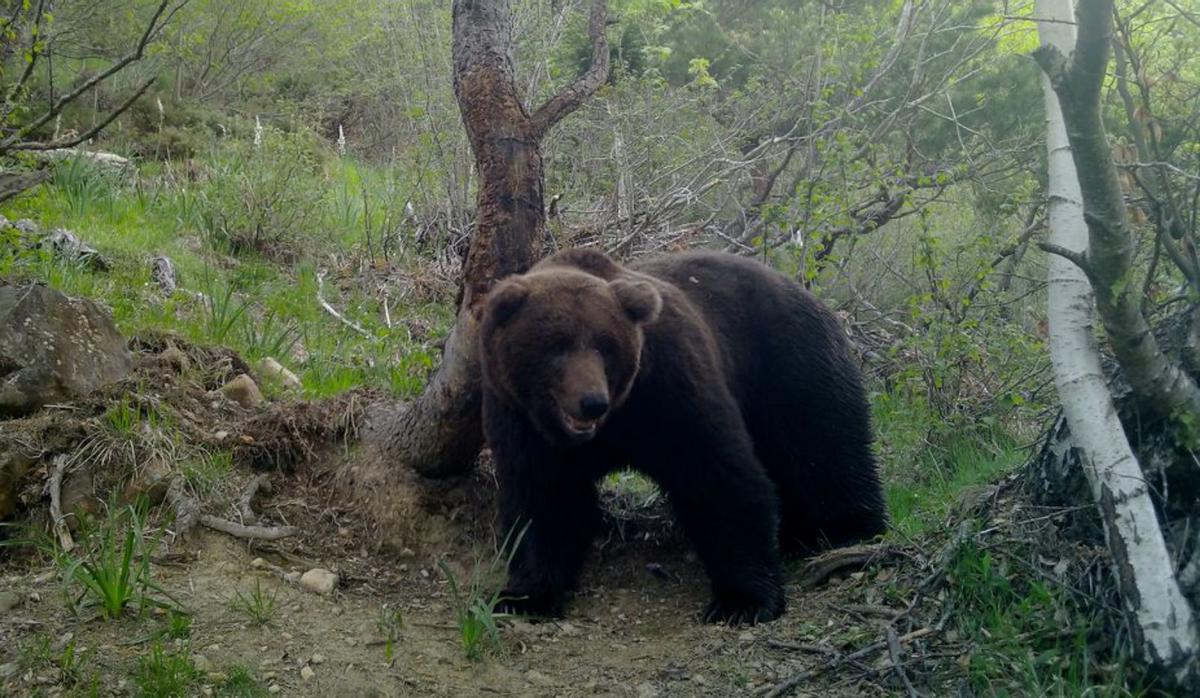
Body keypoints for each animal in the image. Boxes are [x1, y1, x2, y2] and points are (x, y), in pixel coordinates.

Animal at [475, 249, 883, 628]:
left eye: (605, 346)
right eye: (556, 345)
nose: (592, 402)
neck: (609, 427)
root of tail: (806, 291)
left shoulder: (668, 389)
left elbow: (717, 474)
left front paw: (742, 600)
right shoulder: (520, 418)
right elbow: (542, 499)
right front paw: (526, 595)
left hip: (790, 365)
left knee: (822, 448)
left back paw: (843, 528)